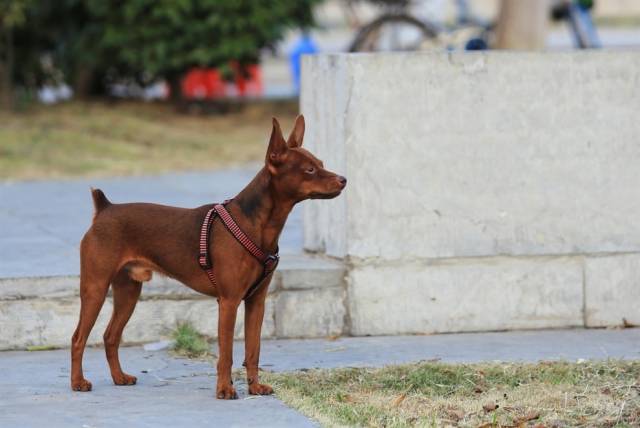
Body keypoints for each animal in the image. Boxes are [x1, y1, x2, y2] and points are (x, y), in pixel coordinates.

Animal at [70, 116, 344, 398]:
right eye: (309, 170)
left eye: (321, 163)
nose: (343, 180)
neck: (255, 223)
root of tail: (105, 209)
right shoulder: (229, 302)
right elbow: (227, 354)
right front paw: (224, 389)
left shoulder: (256, 302)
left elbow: (253, 350)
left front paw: (255, 386)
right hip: (95, 288)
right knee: (79, 337)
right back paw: (78, 382)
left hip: (128, 291)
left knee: (110, 336)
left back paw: (119, 377)